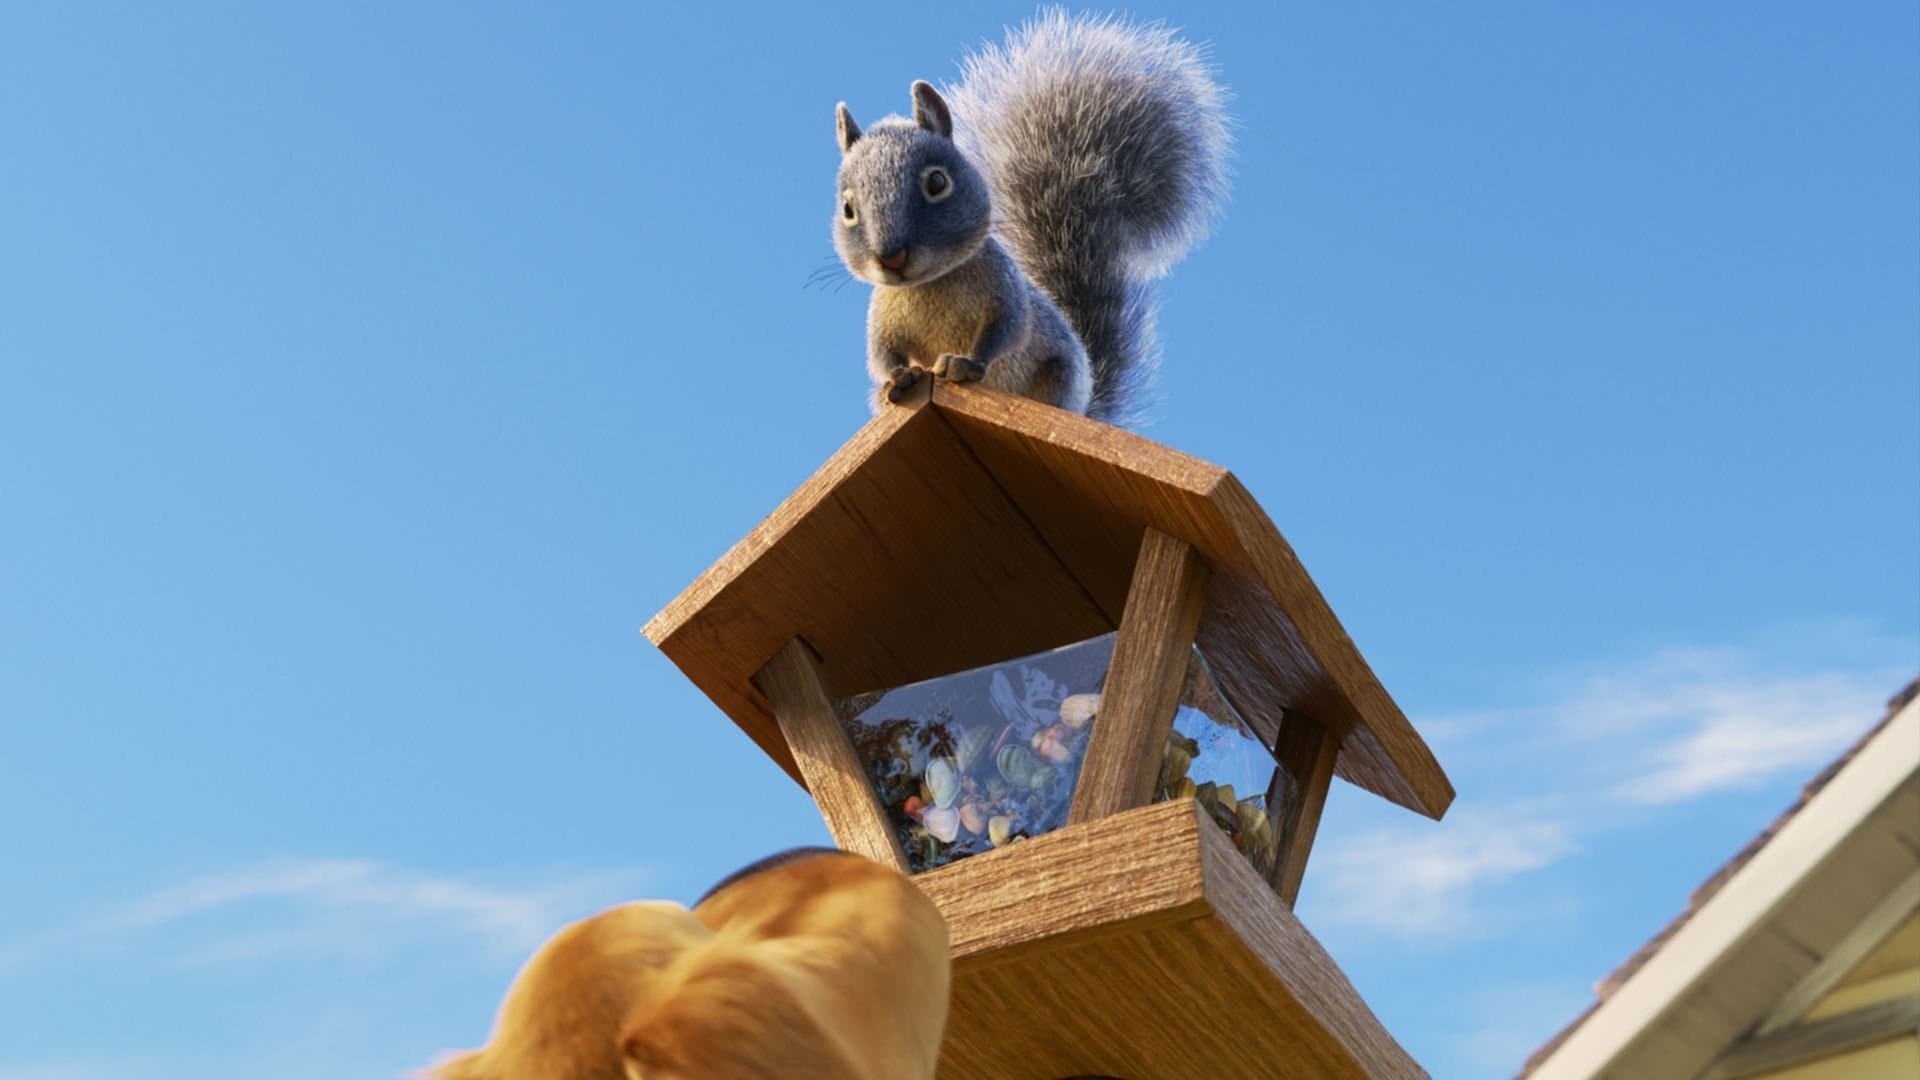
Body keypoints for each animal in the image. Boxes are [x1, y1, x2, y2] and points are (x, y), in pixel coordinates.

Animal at [832, 9, 1231, 426]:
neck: (931, 283)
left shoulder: (1006, 291)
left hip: (1059, 375)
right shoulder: (883, 317)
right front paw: (900, 377)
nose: (891, 257)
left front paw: (964, 364)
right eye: (847, 209)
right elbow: (882, 355)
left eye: (937, 182)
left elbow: (1006, 330)